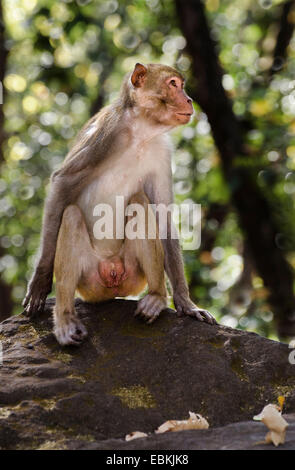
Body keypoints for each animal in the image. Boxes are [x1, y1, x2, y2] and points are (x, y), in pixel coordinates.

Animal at [23, 63, 217, 346]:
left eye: (182, 85)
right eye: (173, 84)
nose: (190, 99)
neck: (140, 132)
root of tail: (111, 276)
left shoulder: (162, 150)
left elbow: (162, 215)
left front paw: (186, 303)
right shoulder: (107, 133)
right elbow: (62, 184)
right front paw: (40, 280)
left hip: (134, 276)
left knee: (139, 203)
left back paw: (157, 298)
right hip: (89, 282)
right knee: (70, 215)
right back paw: (66, 321)